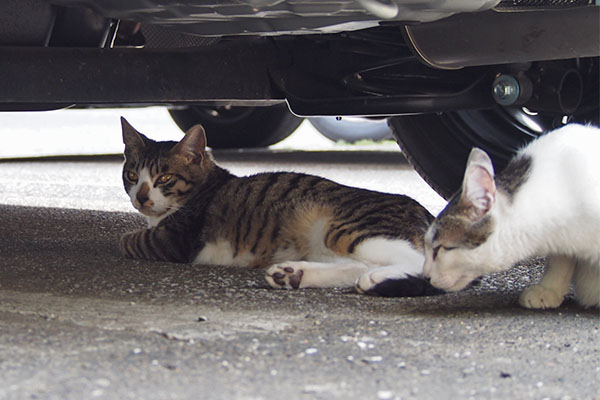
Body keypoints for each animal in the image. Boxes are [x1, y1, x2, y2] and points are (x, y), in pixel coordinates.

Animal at [117, 116, 440, 296]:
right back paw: (294, 274)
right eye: (132, 176)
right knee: (359, 265)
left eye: (164, 178)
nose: (141, 197)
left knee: (420, 263)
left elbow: (128, 240)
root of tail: (427, 214)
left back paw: (375, 279)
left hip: (349, 229)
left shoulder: (174, 239)